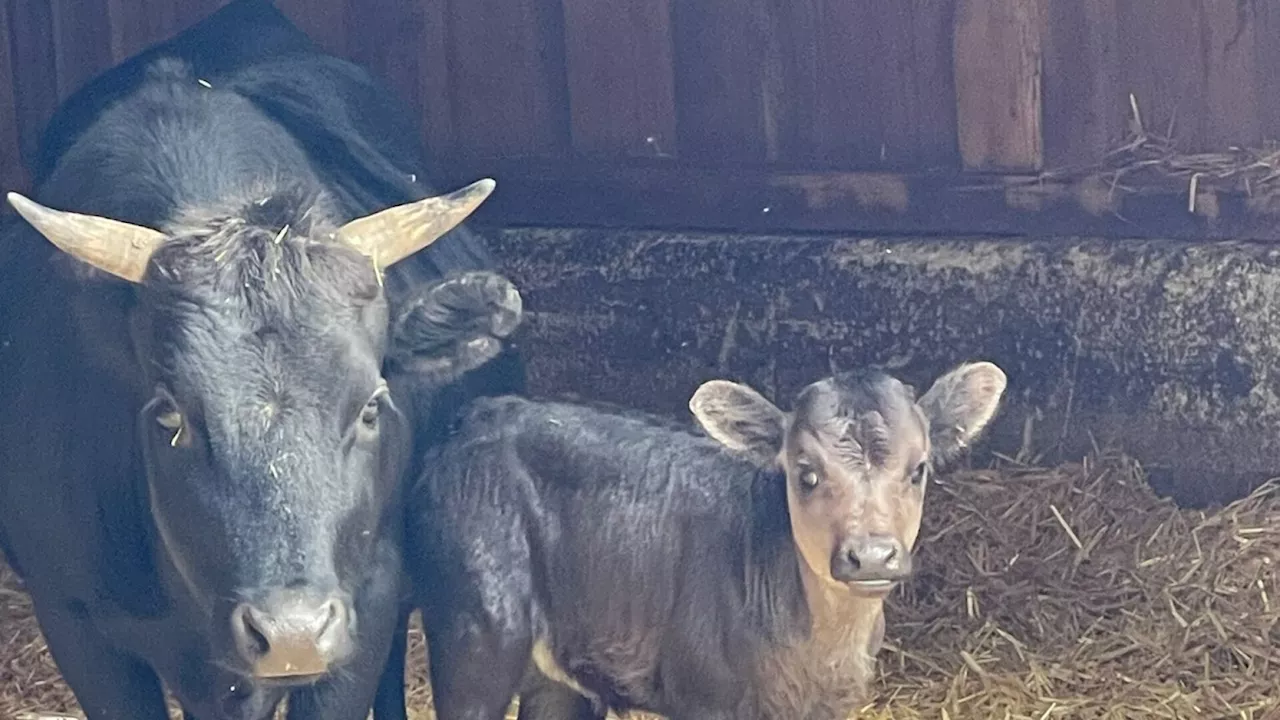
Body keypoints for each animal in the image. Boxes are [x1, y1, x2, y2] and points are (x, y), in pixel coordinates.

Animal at [409, 363, 1008, 717]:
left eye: (919, 469)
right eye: (806, 472)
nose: (873, 555)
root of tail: (477, 415)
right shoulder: (703, 698)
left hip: (558, 670)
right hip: (475, 631)